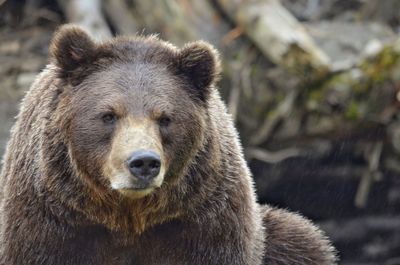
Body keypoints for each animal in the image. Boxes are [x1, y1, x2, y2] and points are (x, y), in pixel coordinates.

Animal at [0, 25, 338, 264]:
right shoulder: (51, 222)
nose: (143, 162)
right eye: (108, 115)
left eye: (165, 118)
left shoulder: (203, 223)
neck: (127, 217)